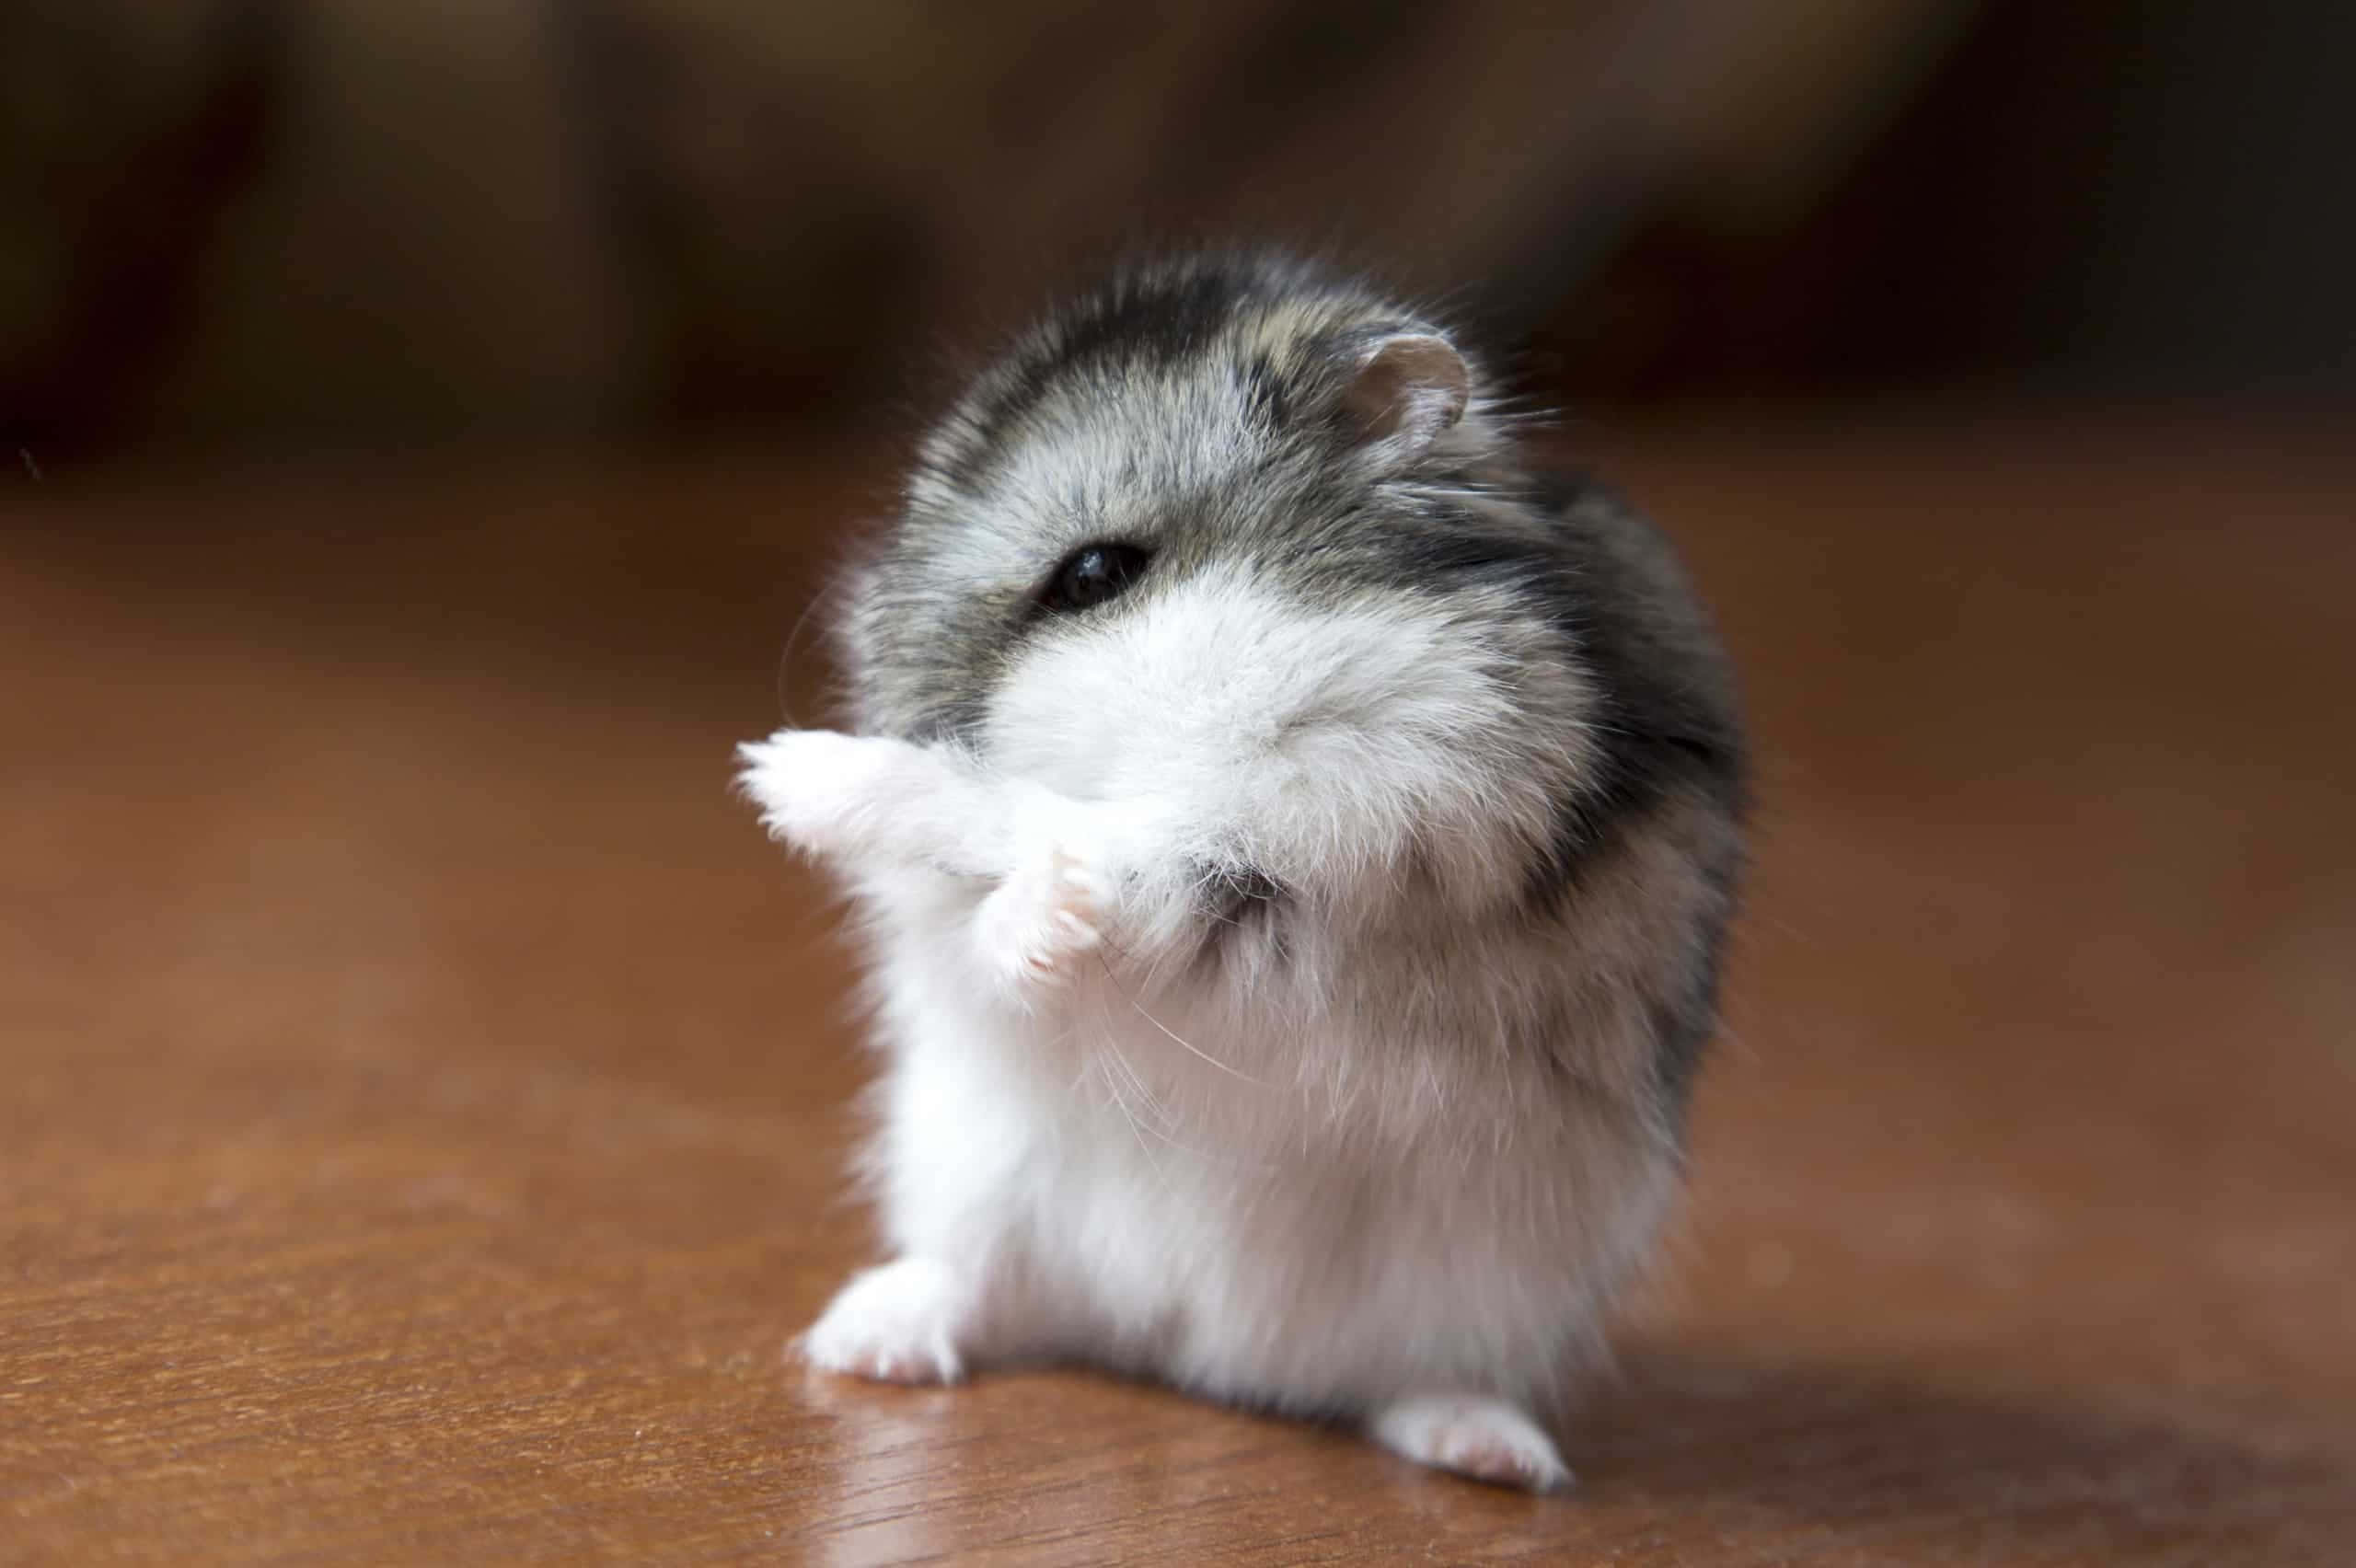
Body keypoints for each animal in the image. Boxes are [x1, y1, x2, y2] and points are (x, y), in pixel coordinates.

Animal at [737, 252, 1744, 1491]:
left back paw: (1496, 1459)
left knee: (1410, 1382)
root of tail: (1192, 1351)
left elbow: (1065, 820)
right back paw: (860, 1343)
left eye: (1095, 572)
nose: (888, 703)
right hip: (969, 1165)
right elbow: (994, 870)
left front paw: (793, 777)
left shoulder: (1348, 827)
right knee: (980, 1287)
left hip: (1495, 1280)